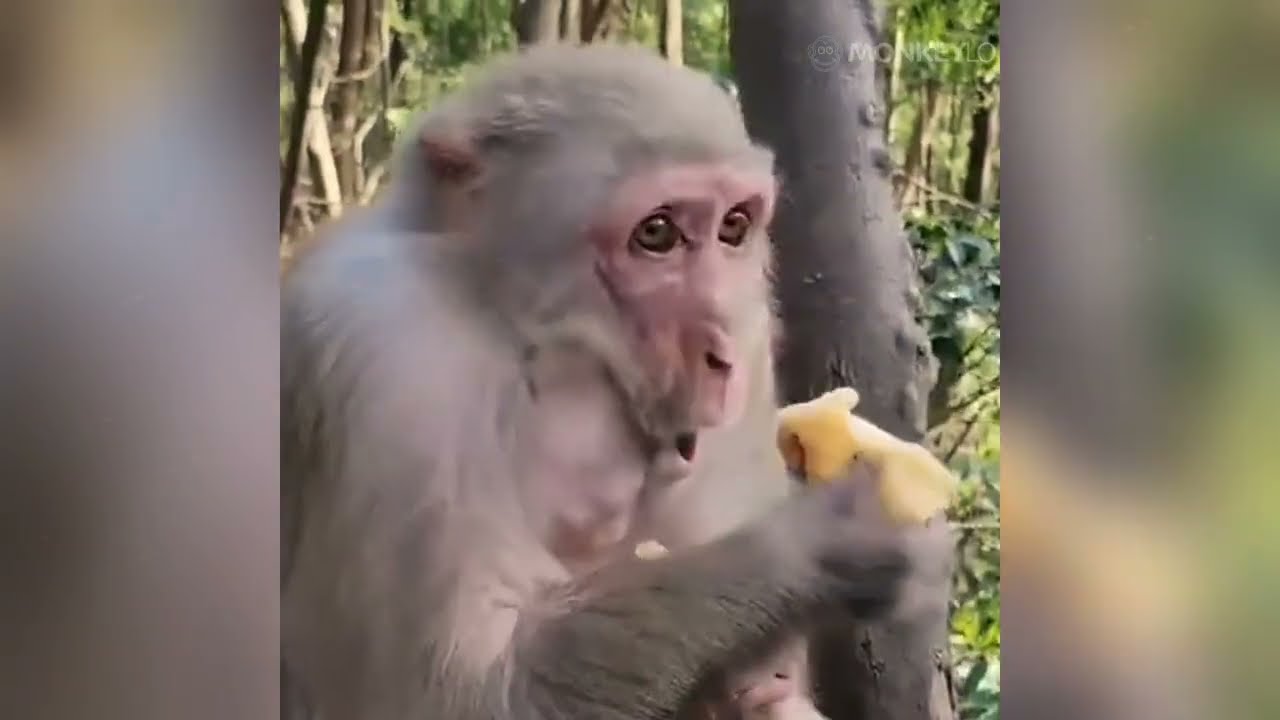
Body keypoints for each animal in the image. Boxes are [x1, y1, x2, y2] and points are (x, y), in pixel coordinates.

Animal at [282, 43, 948, 720]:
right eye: (656, 234)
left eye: (733, 226)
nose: (723, 354)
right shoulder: (392, 349)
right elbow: (461, 691)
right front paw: (829, 543)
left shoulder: (755, 329)